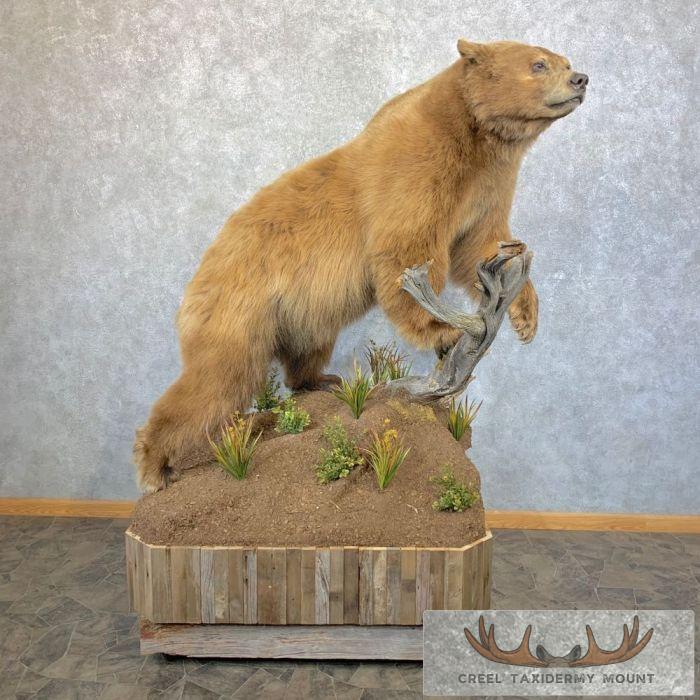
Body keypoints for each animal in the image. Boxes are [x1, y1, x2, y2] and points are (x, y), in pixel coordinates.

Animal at [134, 39, 588, 492]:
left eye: (564, 60)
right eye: (539, 64)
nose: (580, 78)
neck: (477, 138)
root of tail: (201, 273)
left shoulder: (487, 187)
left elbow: (482, 245)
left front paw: (525, 318)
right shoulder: (419, 169)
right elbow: (406, 252)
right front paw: (441, 331)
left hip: (299, 316)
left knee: (302, 352)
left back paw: (320, 381)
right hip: (239, 309)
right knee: (218, 380)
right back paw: (156, 466)